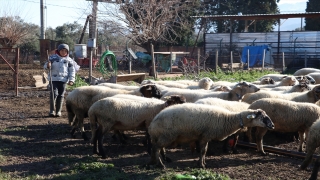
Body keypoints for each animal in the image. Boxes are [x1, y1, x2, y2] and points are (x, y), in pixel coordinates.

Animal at [146, 104, 274, 169]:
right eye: (262, 117)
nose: (272, 125)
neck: (228, 119)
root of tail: (152, 125)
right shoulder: (205, 136)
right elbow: (203, 151)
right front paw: (201, 165)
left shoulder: (205, 137)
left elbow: (205, 151)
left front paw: (202, 163)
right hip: (167, 135)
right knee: (156, 148)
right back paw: (160, 164)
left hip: (163, 136)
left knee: (158, 148)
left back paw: (157, 161)